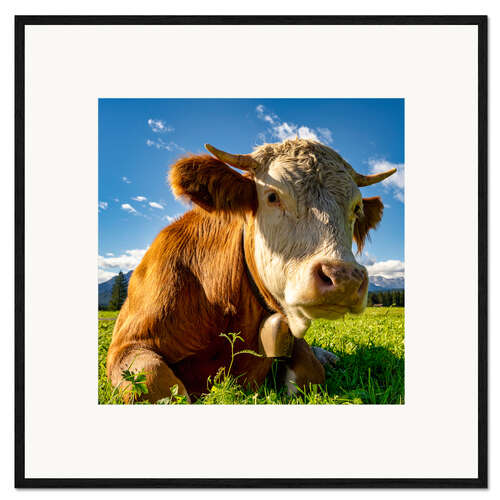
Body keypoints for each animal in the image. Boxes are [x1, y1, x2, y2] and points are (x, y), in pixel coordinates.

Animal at [107, 138, 396, 402]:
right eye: (272, 197)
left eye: (356, 208)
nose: (344, 278)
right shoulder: (126, 346)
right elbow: (158, 381)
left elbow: (310, 371)